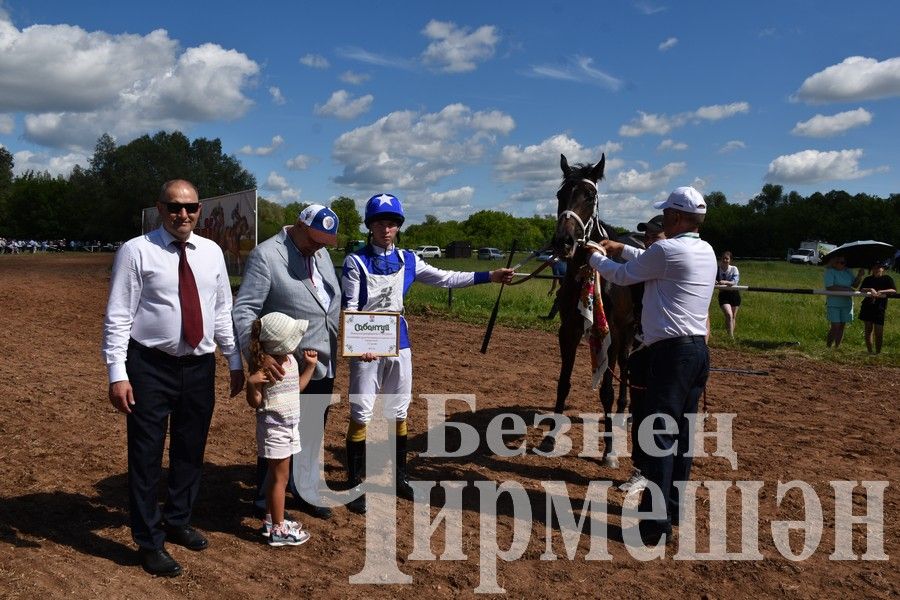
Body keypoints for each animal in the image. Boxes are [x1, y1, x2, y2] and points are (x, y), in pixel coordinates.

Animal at [548, 152, 640, 466]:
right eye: (560, 194)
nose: (563, 241)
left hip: (629, 331)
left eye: (590, 196)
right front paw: (550, 437)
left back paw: (624, 413)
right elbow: (563, 382)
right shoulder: (568, 330)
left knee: (625, 366)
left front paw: (609, 450)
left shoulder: (610, 335)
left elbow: (606, 391)